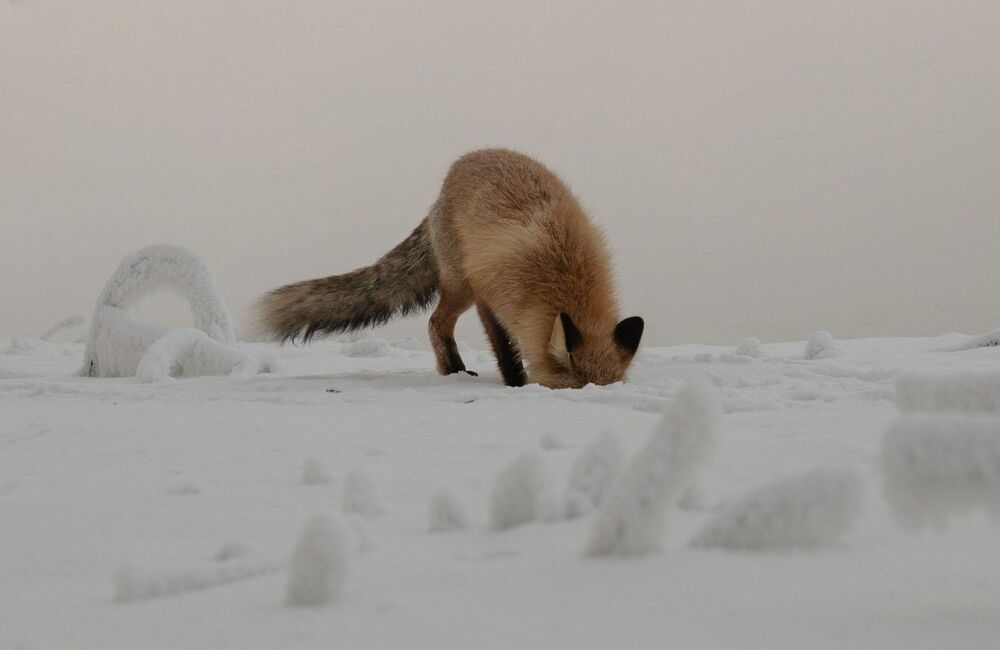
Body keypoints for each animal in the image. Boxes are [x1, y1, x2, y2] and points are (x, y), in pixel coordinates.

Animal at [256, 148, 644, 388]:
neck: (562, 269)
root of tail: (448, 179)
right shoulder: (490, 294)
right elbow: (505, 349)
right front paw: (516, 384)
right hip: (461, 286)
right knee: (435, 322)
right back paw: (452, 370)